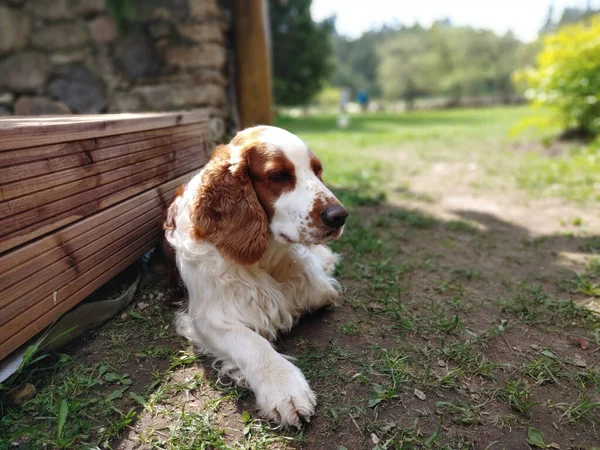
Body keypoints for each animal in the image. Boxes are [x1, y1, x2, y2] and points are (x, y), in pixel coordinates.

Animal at [162, 125, 350, 428]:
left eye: (317, 170)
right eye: (278, 176)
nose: (339, 216)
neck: (266, 256)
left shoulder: (317, 288)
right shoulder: (206, 317)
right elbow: (252, 343)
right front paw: (284, 388)